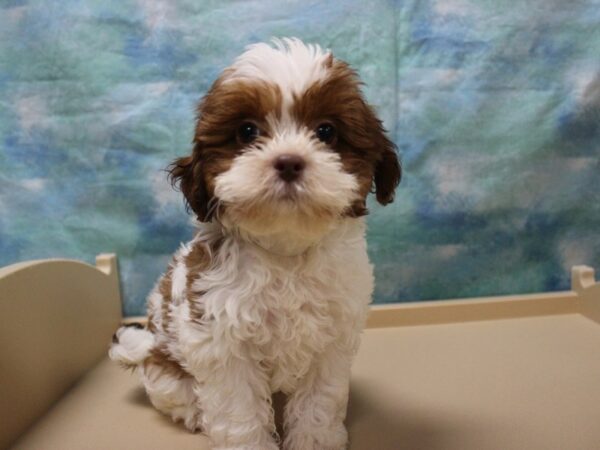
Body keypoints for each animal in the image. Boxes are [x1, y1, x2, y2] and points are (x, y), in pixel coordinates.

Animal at [111, 38, 404, 450]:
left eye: (326, 131)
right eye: (247, 131)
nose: (289, 162)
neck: (285, 251)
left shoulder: (332, 341)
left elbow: (319, 401)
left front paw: (316, 440)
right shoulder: (222, 343)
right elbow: (240, 413)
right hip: (164, 369)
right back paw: (196, 416)